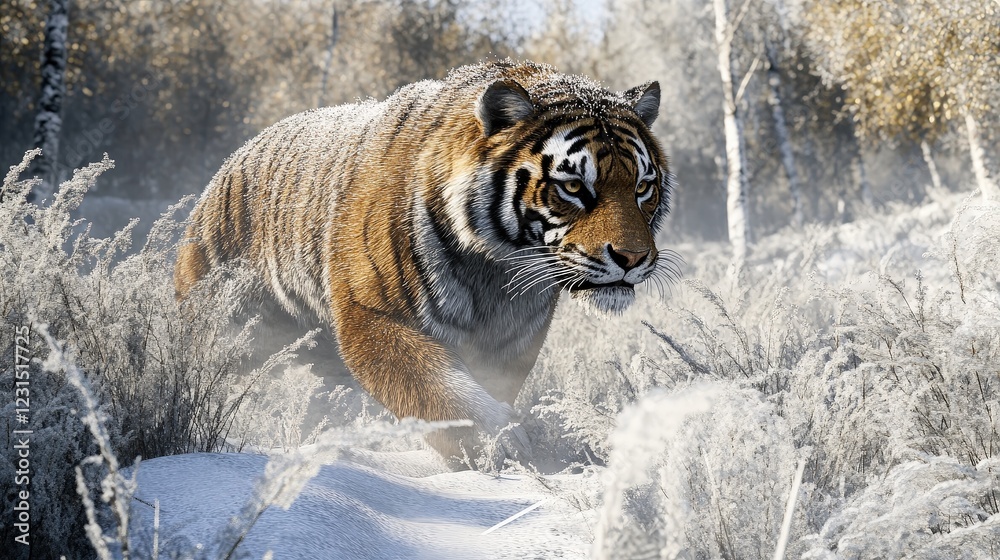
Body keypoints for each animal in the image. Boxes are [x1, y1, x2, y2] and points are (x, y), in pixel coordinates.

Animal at [174, 59, 674, 466]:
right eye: (573, 187)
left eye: (642, 186)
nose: (632, 258)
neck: (496, 270)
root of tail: (227, 165)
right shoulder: (372, 317)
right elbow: (438, 390)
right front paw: (497, 444)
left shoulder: (512, 341)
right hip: (226, 332)